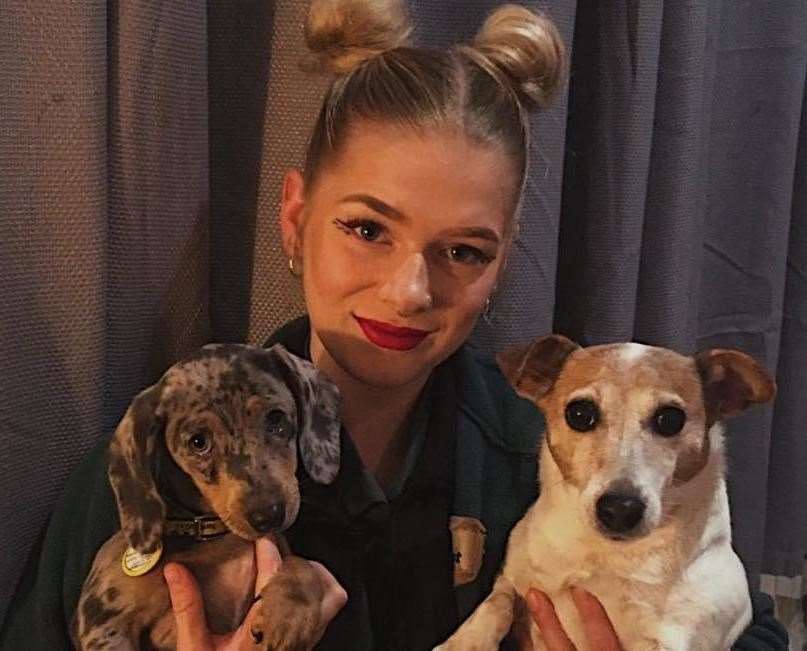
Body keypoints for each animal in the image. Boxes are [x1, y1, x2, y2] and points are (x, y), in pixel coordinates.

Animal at [72, 344, 340, 651]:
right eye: (198, 442)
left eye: (276, 419)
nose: (268, 515)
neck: (212, 535)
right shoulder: (102, 622)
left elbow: (305, 566)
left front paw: (288, 613)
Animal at [438, 338, 780, 648]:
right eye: (579, 414)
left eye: (671, 419)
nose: (620, 509)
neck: (605, 556)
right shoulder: (515, 580)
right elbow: (497, 604)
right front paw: (464, 642)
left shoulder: (669, 641)